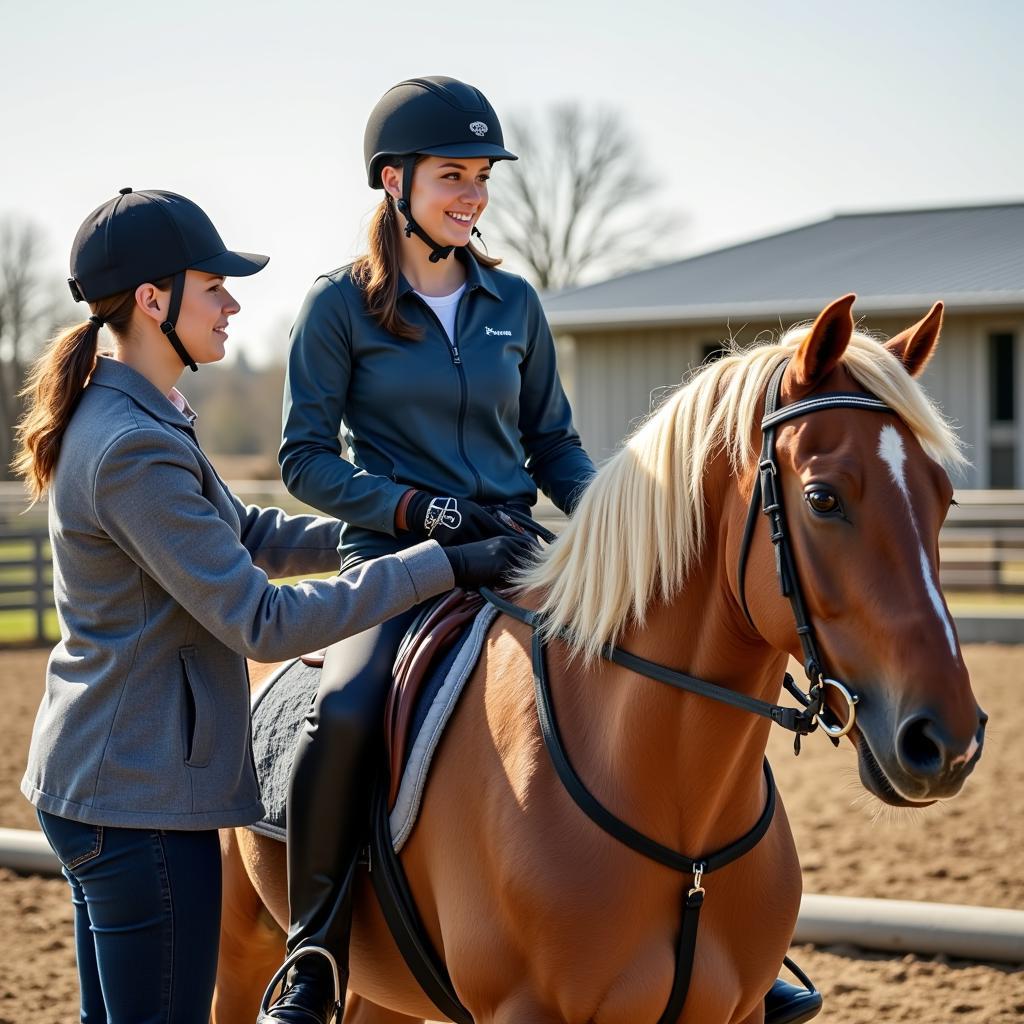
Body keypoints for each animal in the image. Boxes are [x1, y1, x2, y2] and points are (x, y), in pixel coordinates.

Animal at [214, 296, 983, 1024]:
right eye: (824, 498)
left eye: (944, 499)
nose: (946, 741)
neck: (678, 816)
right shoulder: (522, 1011)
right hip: (237, 946)